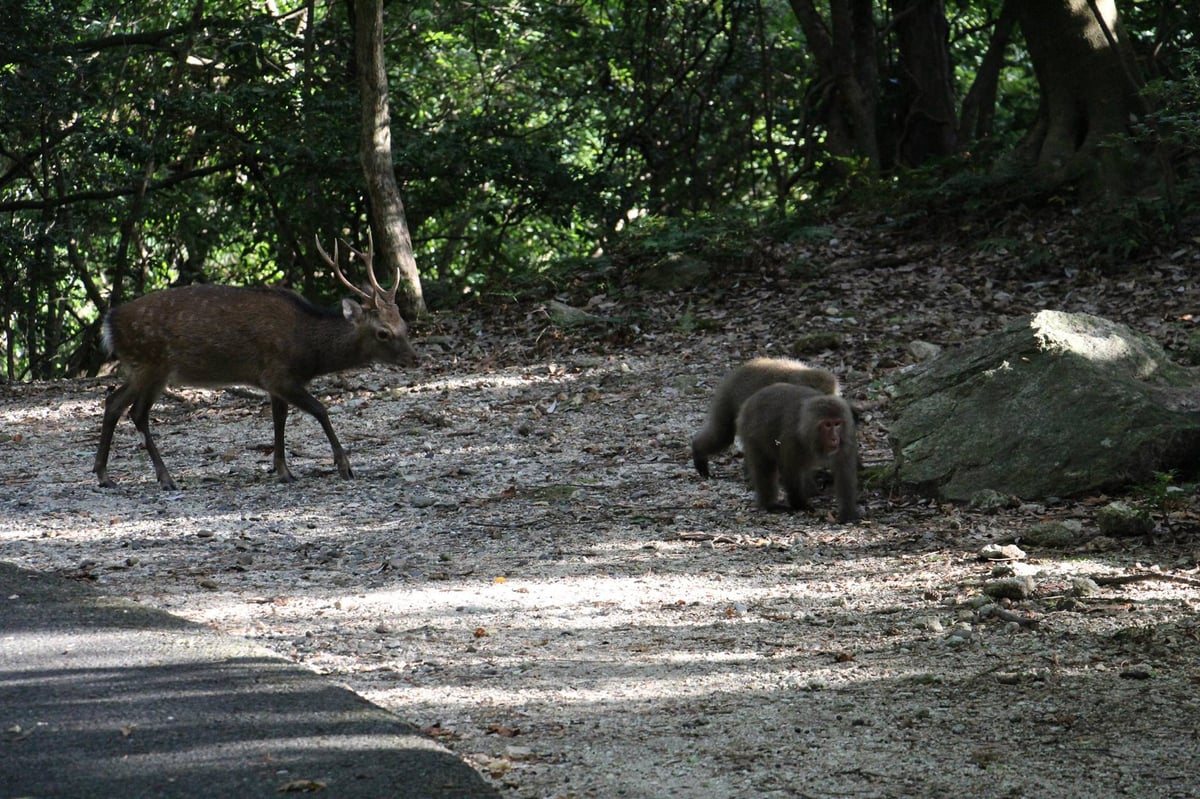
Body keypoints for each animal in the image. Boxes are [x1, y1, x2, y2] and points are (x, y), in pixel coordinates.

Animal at [92, 233, 417, 489]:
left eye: (403, 323)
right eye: (383, 333)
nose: (414, 359)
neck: (308, 350)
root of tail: (109, 324)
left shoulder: (274, 383)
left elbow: (279, 420)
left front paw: (283, 470)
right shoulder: (278, 374)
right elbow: (320, 410)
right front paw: (344, 466)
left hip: (138, 368)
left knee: (113, 402)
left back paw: (104, 475)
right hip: (153, 364)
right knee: (137, 412)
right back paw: (165, 477)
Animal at [734, 381, 859, 520]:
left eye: (837, 424)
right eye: (828, 425)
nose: (834, 438)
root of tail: (749, 401)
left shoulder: (847, 436)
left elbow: (845, 472)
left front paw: (848, 514)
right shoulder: (792, 440)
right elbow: (791, 471)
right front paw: (800, 504)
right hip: (751, 431)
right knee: (764, 467)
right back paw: (769, 505)